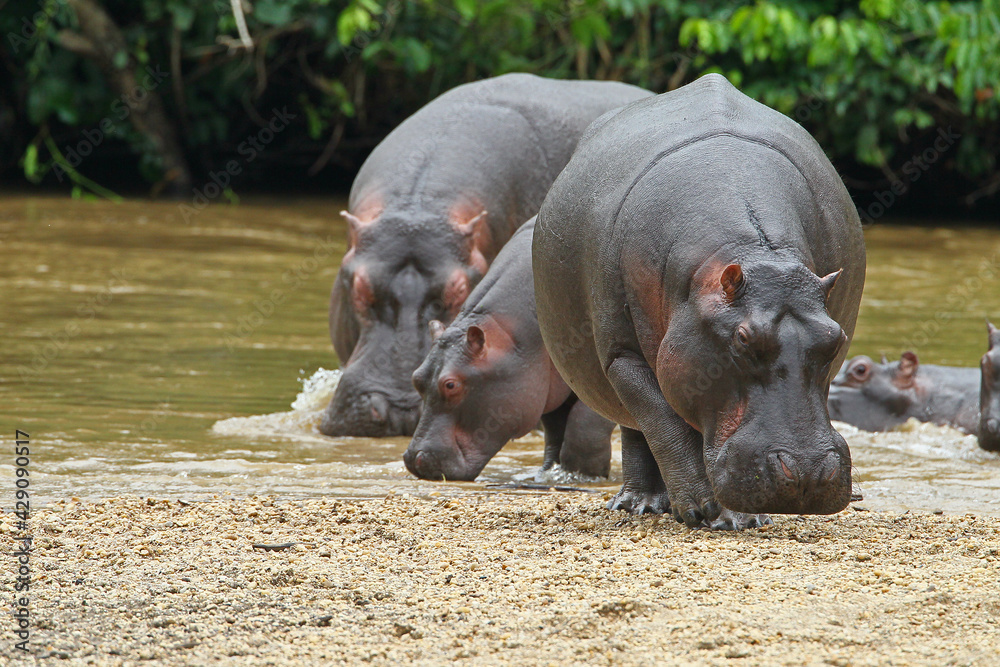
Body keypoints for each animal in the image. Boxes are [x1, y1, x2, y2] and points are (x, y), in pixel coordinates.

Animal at [404, 218, 616, 481]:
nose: (413, 459)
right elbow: (555, 434)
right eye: (416, 378)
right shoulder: (548, 386)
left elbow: (584, 427)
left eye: (451, 384)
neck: (505, 331)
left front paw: (583, 477)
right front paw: (548, 475)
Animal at [533, 73, 866, 530]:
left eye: (836, 337)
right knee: (640, 427)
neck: (753, 251)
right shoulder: (622, 356)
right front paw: (706, 510)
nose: (809, 472)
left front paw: (739, 517)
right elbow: (663, 422)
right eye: (742, 338)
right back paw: (639, 503)